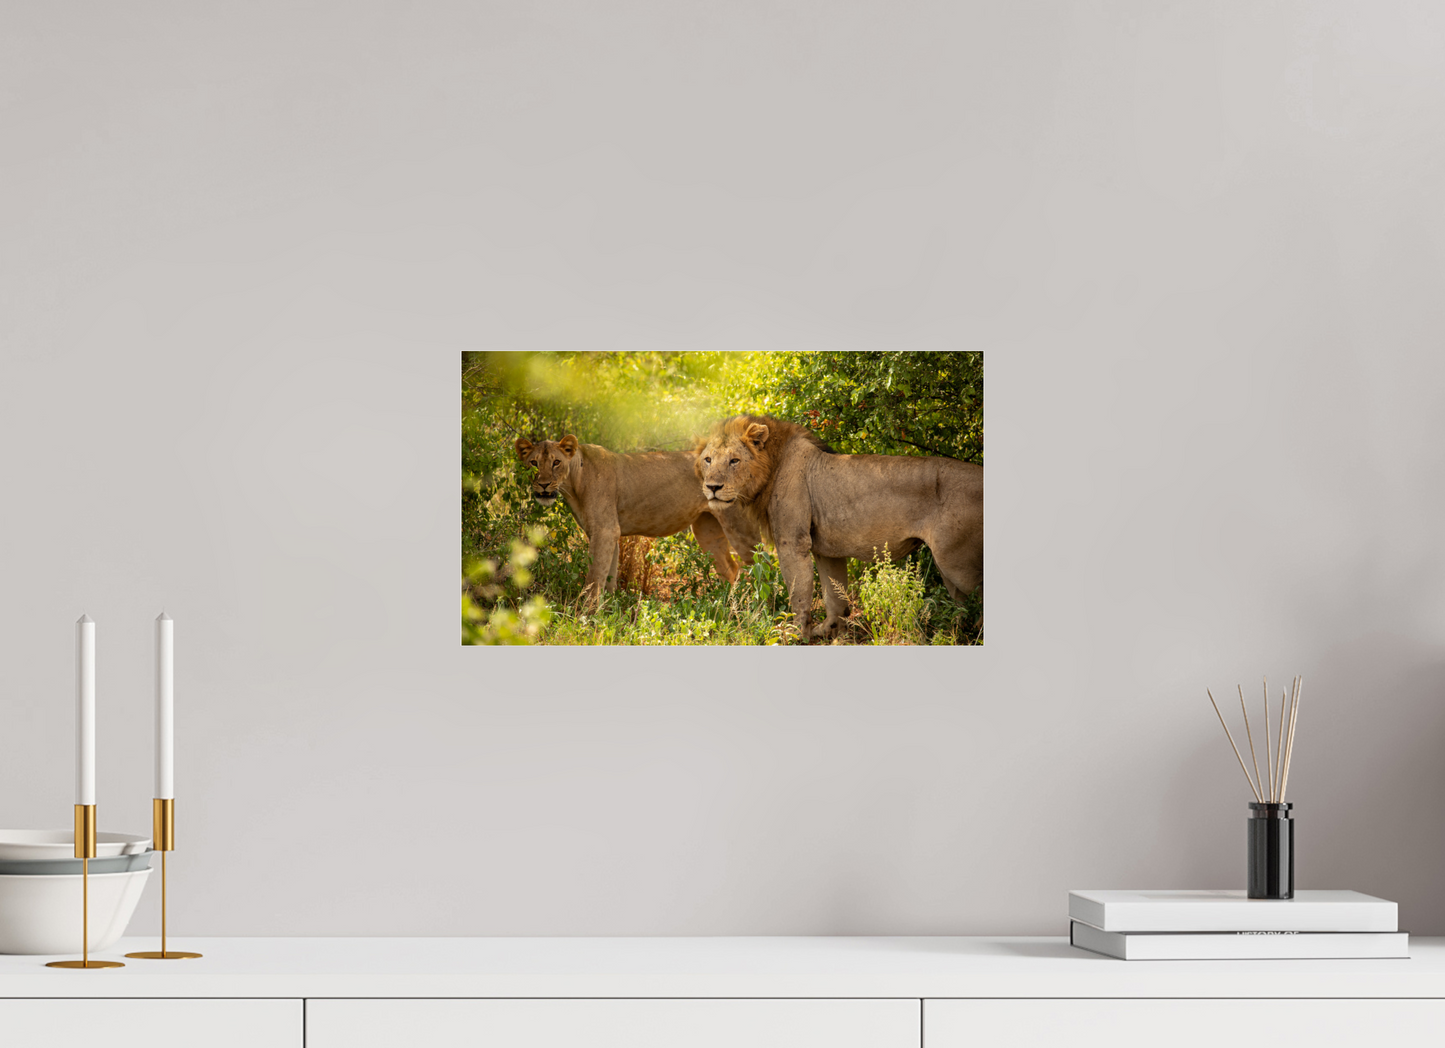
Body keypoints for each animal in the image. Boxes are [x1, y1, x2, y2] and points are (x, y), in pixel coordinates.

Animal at [515, 435, 759, 606]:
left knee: (761, 564)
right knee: (730, 568)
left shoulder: (605, 530)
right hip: (706, 529)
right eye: (534, 463)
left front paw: (584, 615)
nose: (543, 485)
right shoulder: (607, 533)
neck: (573, 483)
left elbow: (593, 578)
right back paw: (725, 606)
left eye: (556, 462)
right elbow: (608, 578)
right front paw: (607, 612)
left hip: (741, 530)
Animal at [694, 415, 982, 641]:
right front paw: (831, 631)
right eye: (708, 460)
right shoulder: (827, 550)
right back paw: (951, 634)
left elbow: (799, 593)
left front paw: (795, 634)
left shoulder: (792, 542)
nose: (712, 487)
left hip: (955, 562)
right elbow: (835, 596)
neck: (772, 465)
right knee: (961, 606)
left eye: (734, 461)